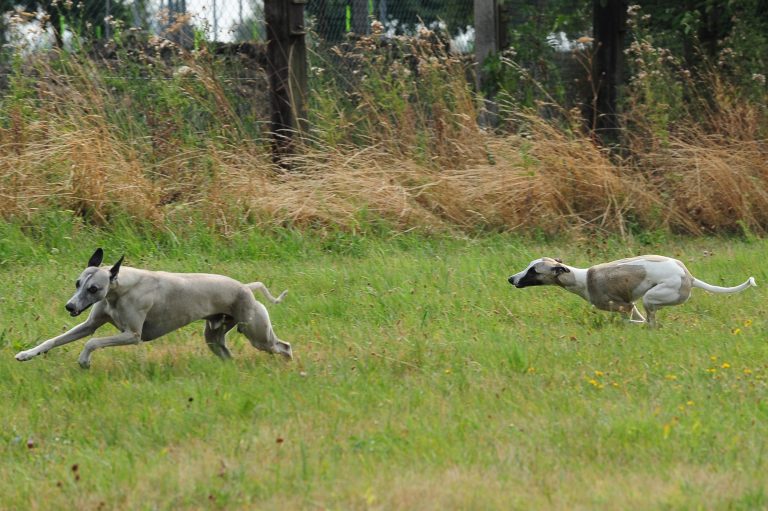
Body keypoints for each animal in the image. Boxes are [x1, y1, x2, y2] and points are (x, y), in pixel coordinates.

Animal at [15, 249, 292, 366]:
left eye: (93, 289)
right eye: (77, 283)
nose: (70, 306)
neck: (120, 288)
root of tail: (246, 286)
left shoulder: (132, 335)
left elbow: (92, 342)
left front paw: (84, 361)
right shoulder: (89, 325)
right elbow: (54, 340)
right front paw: (27, 354)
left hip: (257, 334)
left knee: (283, 346)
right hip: (214, 338)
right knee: (227, 355)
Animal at [510, 256, 756, 328]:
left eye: (533, 271)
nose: (510, 279)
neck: (581, 279)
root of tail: (689, 276)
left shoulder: (625, 306)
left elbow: (629, 319)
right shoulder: (630, 306)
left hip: (653, 297)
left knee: (651, 322)